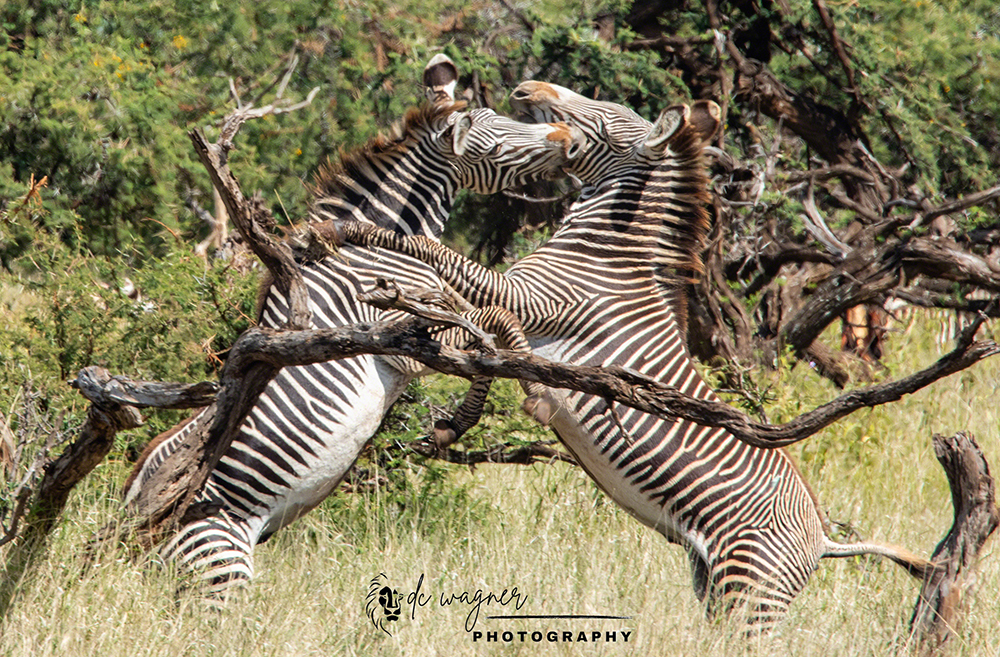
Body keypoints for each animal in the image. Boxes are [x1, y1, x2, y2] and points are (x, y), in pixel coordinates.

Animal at [123, 59, 586, 597]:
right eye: (493, 143)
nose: (565, 135)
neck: (376, 246)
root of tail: (134, 513)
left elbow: (485, 335)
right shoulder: (399, 335)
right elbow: (492, 329)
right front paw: (511, 400)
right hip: (218, 558)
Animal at [331, 81, 935, 630]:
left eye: (603, 118)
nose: (526, 89)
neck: (603, 251)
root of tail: (824, 538)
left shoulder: (530, 297)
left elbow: (446, 268)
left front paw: (349, 231)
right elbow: (467, 325)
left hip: (751, 589)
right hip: (715, 583)